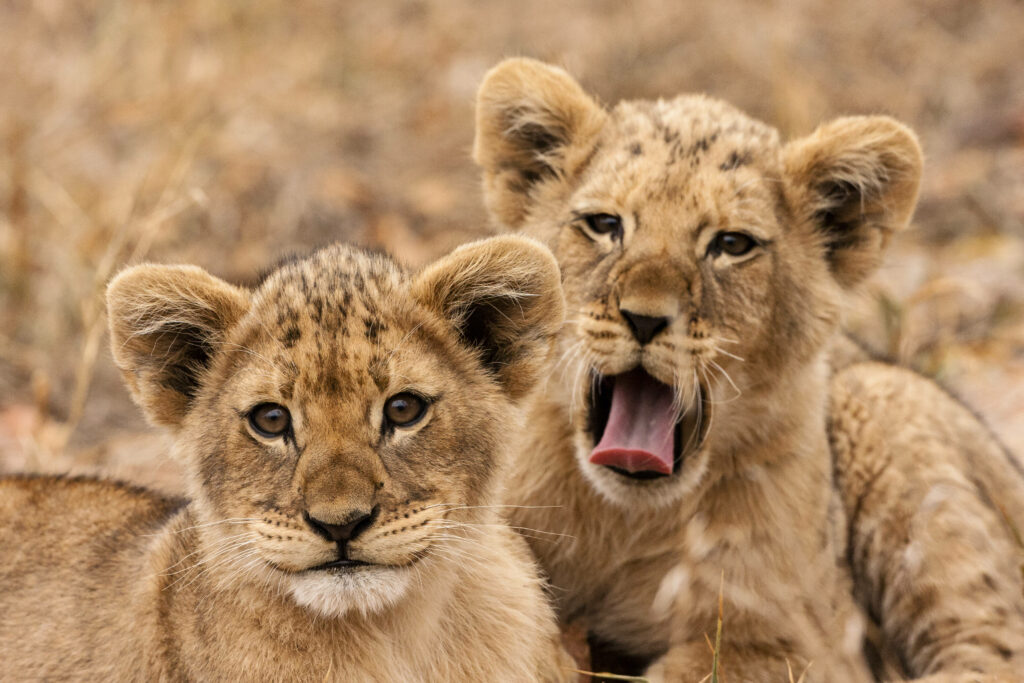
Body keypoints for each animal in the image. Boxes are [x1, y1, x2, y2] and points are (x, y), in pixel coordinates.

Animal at [473, 58, 1024, 681]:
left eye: (732, 244)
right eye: (604, 224)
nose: (644, 319)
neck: (623, 522)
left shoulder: (800, 644)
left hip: (885, 404)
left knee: (990, 643)